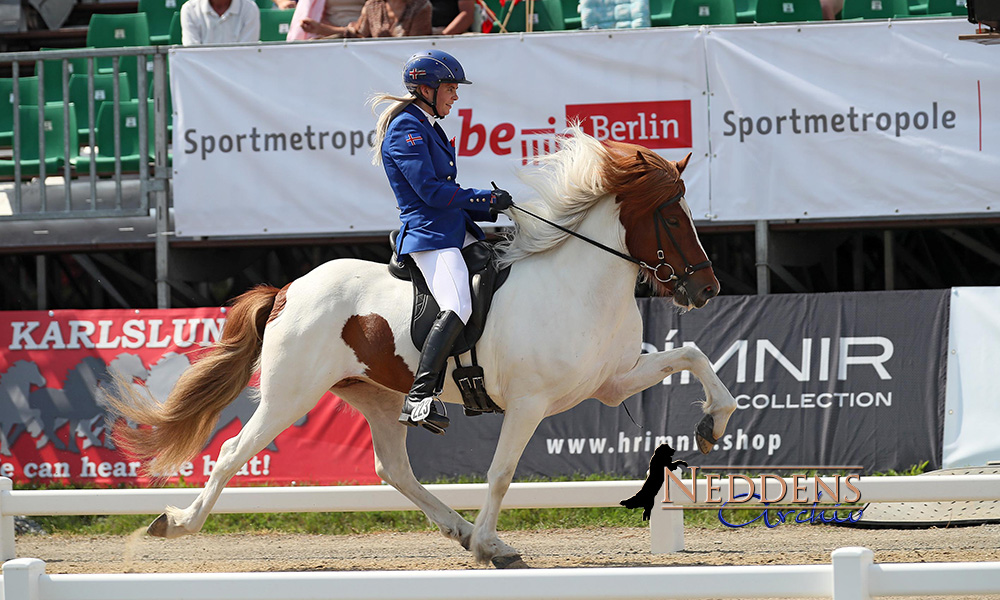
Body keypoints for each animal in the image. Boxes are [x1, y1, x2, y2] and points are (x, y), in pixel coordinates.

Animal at [101, 130, 740, 568]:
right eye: (670, 216)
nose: (707, 290)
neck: (579, 283)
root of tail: (287, 290)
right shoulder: (530, 404)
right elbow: (501, 472)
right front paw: (487, 544)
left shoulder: (611, 382)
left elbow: (692, 355)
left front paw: (712, 424)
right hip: (290, 395)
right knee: (234, 452)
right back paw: (176, 523)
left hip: (379, 397)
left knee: (394, 468)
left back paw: (461, 531)